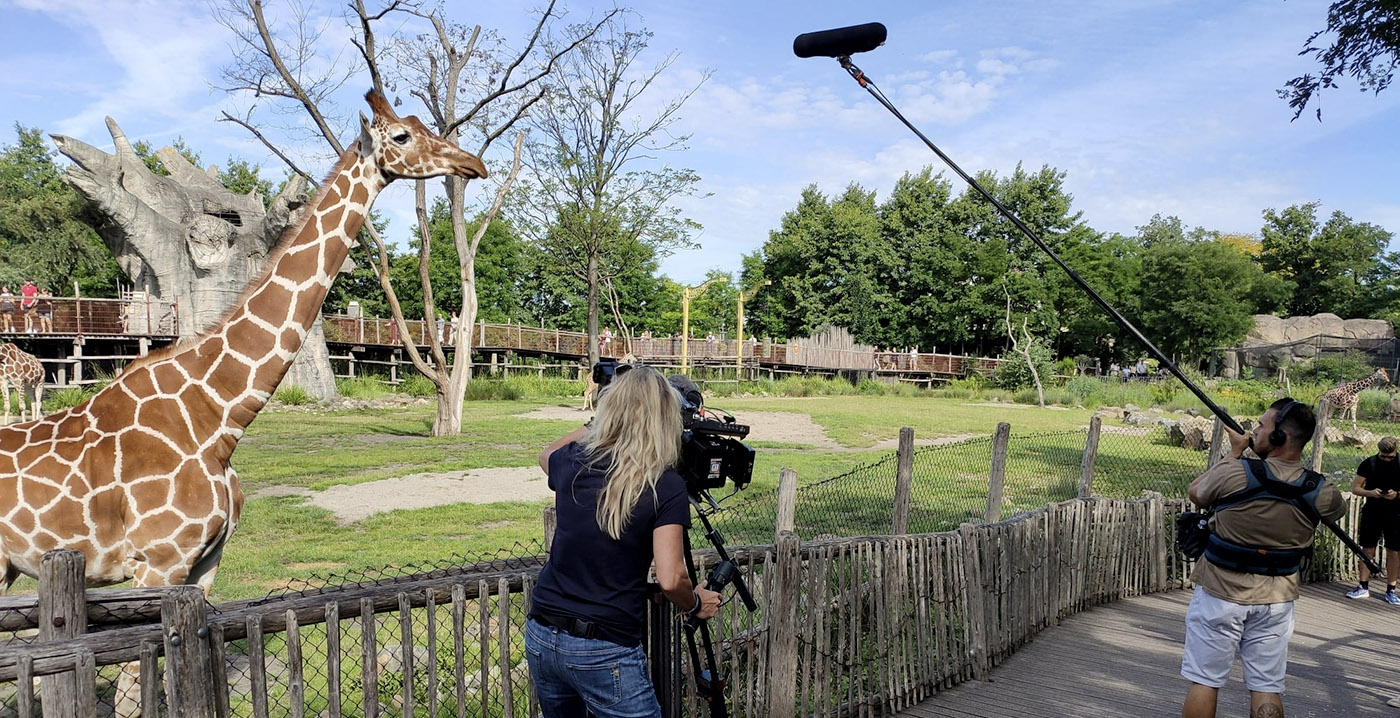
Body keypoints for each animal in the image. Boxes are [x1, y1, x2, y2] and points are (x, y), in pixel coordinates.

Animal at [0, 88, 487, 711]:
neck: (218, 417)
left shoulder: (203, 566)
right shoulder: (157, 564)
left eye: (422, 125)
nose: (473, 164)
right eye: (401, 136)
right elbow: (137, 694)